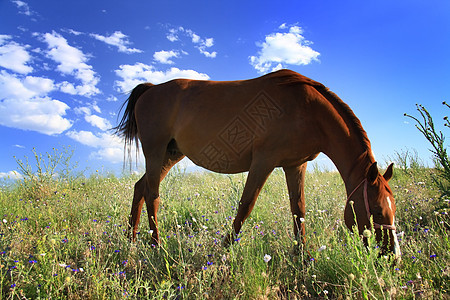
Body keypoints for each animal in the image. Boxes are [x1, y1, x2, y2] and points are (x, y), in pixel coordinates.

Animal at [115, 69, 400, 256]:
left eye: (393, 208)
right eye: (376, 210)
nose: (392, 256)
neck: (308, 109)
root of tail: (151, 89)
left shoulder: (295, 165)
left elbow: (299, 209)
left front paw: (302, 257)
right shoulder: (263, 161)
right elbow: (246, 206)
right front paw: (223, 249)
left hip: (170, 155)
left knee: (140, 188)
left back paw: (131, 240)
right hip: (156, 153)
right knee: (153, 195)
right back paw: (157, 245)